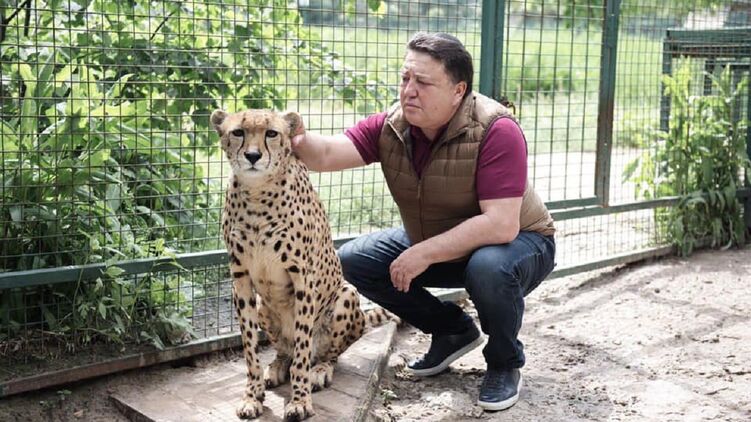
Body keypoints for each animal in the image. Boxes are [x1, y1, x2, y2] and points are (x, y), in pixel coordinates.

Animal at [211, 108, 393, 421]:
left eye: (272, 133)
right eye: (238, 132)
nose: (253, 156)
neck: (257, 194)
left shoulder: (303, 278)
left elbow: (303, 347)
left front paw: (299, 401)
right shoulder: (241, 279)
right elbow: (249, 347)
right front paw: (252, 395)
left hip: (346, 294)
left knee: (327, 354)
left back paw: (319, 371)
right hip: (264, 306)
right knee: (284, 349)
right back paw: (275, 368)